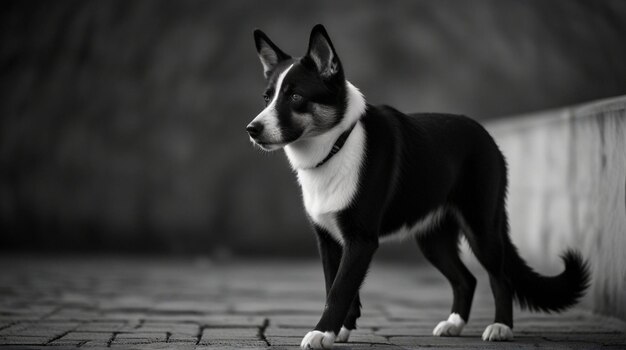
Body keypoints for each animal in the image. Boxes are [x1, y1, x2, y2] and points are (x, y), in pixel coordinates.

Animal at [246, 23, 588, 348]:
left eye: (295, 96)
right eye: (267, 97)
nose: (252, 129)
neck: (338, 144)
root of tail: (486, 136)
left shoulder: (361, 239)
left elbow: (339, 290)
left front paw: (321, 333)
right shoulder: (329, 239)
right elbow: (338, 286)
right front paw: (340, 330)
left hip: (482, 227)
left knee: (499, 278)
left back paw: (501, 327)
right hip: (433, 239)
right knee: (466, 280)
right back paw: (454, 324)